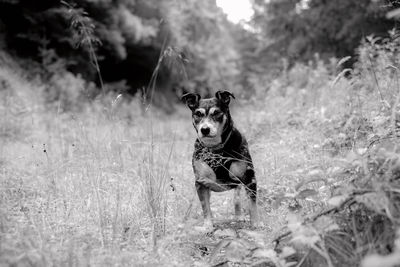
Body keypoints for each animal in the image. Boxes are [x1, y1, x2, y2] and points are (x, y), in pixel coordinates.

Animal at [180, 91, 258, 229]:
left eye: (216, 113)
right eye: (198, 114)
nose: (205, 129)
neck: (216, 150)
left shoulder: (249, 178)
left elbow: (252, 204)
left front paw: (256, 223)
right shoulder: (201, 182)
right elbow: (205, 207)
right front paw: (208, 226)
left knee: (237, 198)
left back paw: (239, 216)